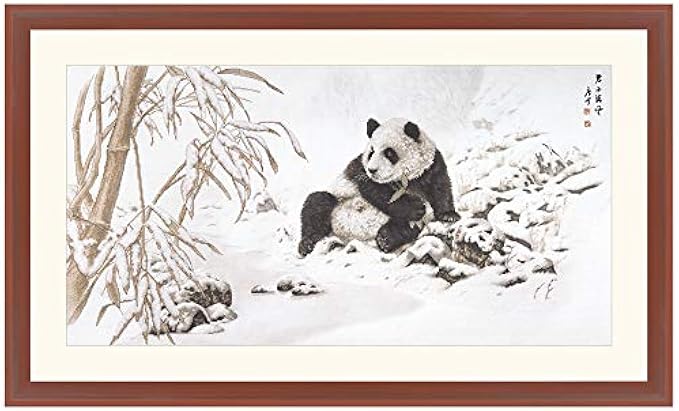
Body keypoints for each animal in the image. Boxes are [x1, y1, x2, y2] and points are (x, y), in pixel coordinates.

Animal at [298, 117, 460, 257]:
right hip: (336, 203)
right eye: (371, 152)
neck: (406, 179)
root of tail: (350, 237)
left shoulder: (431, 167)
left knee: (405, 228)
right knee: (317, 204)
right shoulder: (359, 169)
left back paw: (385, 239)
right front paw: (416, 207)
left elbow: (441, 188)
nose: (372, 170)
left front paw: (448, 215)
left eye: (389, 153)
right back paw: (307, 243)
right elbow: (377, 192)